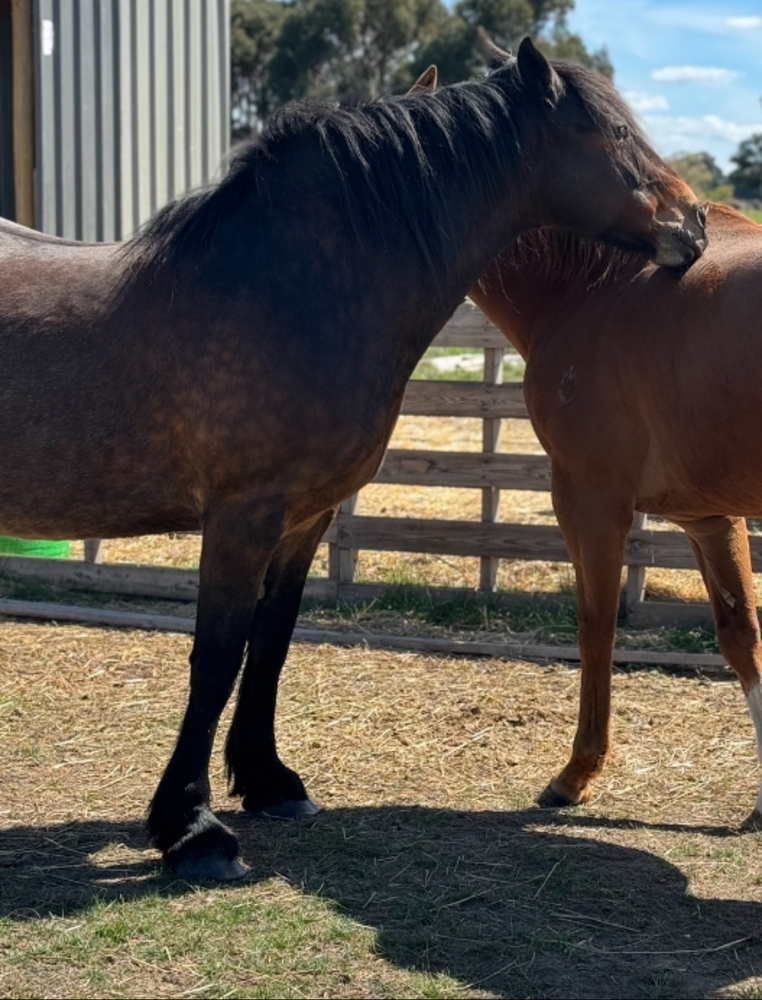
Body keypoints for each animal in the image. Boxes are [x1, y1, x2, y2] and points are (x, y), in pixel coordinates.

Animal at [0, 38, 705, 880]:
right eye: (616, 134)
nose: (695, 221)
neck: (292, 291)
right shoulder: (242, 516)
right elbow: (217, 657)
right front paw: (193, 829)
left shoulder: (304, 517)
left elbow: (270, 644)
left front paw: (269, 782)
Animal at [468, 202, 762, 825]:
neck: (595, 283)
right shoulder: (711, 517)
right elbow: (741, 637)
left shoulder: (589, 501)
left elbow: (596, 630)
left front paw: (575, 775)